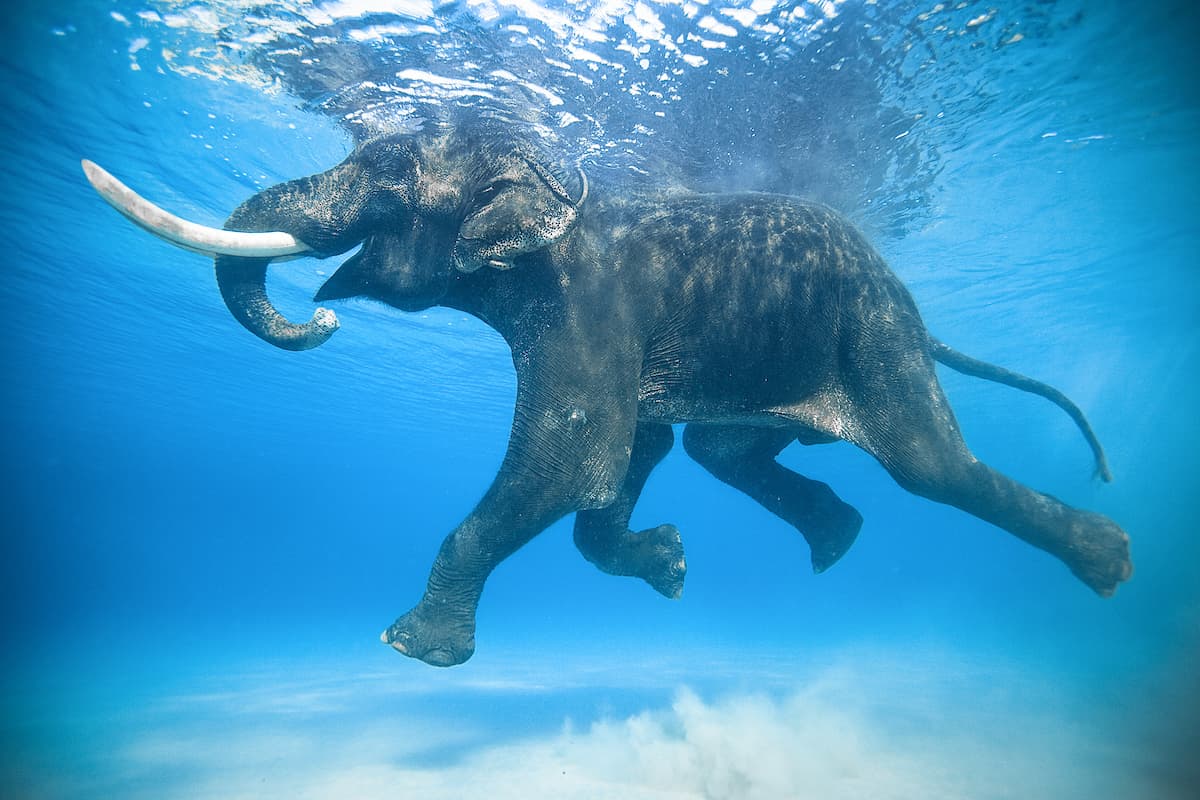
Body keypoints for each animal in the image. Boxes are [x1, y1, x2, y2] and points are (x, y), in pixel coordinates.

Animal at [83, 120, 1132, 667]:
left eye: (383, 176)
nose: (323, 317)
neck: (551, 185)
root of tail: (920, 316)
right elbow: (630, 455)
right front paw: (669, 564)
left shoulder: (584, 315)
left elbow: (568, 459)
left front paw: (410, 647)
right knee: (720, 451)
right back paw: (836, 543)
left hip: (875, 340)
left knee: (933, 469)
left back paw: (1109, 563)